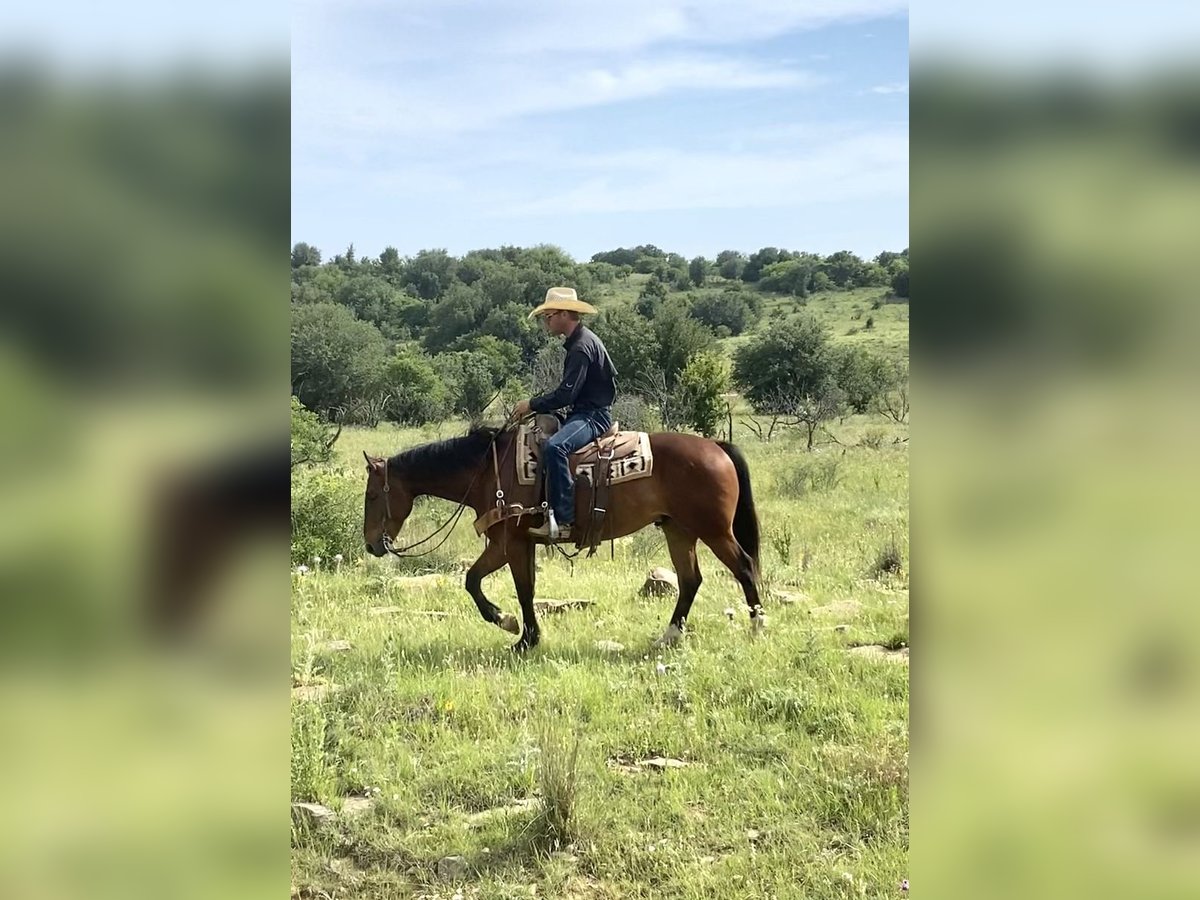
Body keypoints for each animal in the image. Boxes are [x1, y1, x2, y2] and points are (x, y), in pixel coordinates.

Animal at [360, 427, 763, 652]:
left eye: (373, 496)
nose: (371, 544)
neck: (488, 471)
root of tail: (716, 446)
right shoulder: (519, 544)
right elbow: (517, 588)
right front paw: (526, 635)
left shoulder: (508, 543)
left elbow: (488, 584)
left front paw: (512, 628)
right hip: (678, 530)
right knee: (690, 579)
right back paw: (668, 637)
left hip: (713, 531)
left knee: (744, 568)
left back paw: (757, 626)